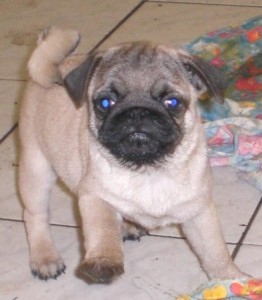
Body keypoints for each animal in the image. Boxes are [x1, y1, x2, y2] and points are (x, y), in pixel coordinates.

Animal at [18, 26, 244, 284]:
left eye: (172, 102)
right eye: (105, 102)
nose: (137, 112)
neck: (149, 170)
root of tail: (57, 64)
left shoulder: (199, 211)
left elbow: (214, 249)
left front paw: (232, 279)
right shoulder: (95, 197)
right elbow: (103, 228)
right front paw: (103, 260)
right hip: (37, 168)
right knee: (34, 214)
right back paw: (45, 257)